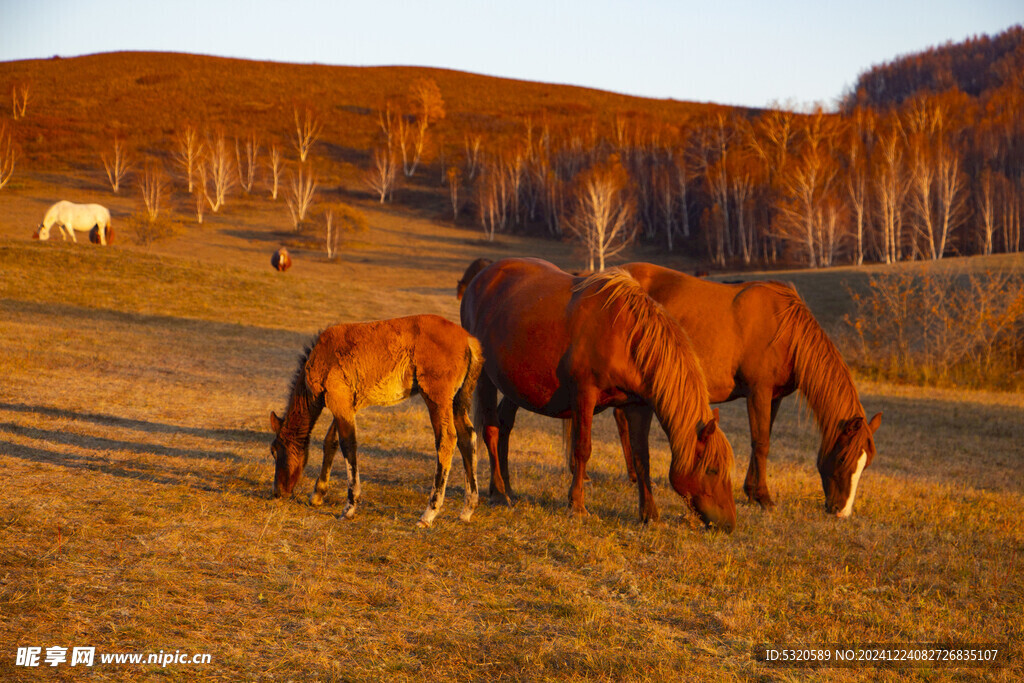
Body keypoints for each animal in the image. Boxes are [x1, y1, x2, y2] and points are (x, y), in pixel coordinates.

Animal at [268, 315, 483, 528]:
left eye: (274, 451)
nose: (278, 492)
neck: (322, 354)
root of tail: (468, 340)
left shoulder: (338, 400)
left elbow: (348, 445)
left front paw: (349, 507)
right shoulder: (347, 404)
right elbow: (331, 442)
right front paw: (317, 495)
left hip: (436, 399)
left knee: (446, 440)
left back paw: (429, 513)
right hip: (456, 402)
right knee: (467, 437)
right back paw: (467, 509)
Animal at [458, 259, 737, 532]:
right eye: (712, 470)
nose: (729, 524)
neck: (626, 337)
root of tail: (481, 278)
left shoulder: (638, 406)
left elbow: (641, 457)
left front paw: (650, 514)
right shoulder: (585, 395)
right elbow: (582, 449)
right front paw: (577, 506)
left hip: (515, 386)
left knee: (505, 426)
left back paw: (507, 489)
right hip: (485, 378)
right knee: (491, 430)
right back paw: (498, 494)